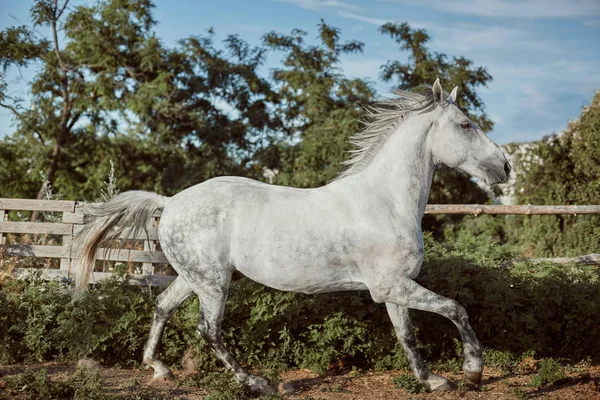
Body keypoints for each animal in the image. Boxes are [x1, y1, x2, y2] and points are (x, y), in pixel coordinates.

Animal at [74, 79, 506, 394]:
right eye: (466, 124)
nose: (505, 166)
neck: (385, 201)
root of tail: (171, 202)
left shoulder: (392, 288)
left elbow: (407, 335)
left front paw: (431, 380)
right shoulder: (391, 286)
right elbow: (455, 308)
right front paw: (472, 371)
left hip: (195, 277)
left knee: (163, 305)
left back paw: (159, 369)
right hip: (213, 284)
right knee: (209, 330)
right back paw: (259, 383)